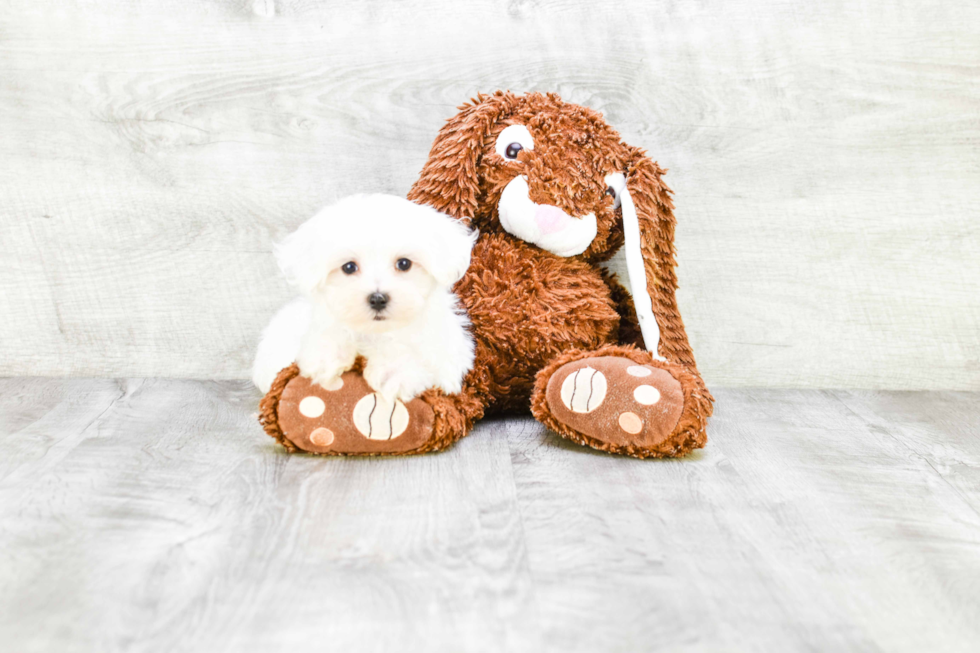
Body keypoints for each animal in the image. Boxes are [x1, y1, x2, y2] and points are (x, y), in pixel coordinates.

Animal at [253, 191, 478, 400]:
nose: (378, 299)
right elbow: (331, 332)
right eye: (349, 267)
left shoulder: (446, 351)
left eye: (404, 263)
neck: (375, 332)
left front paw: (393, 372)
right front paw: (326, 359)